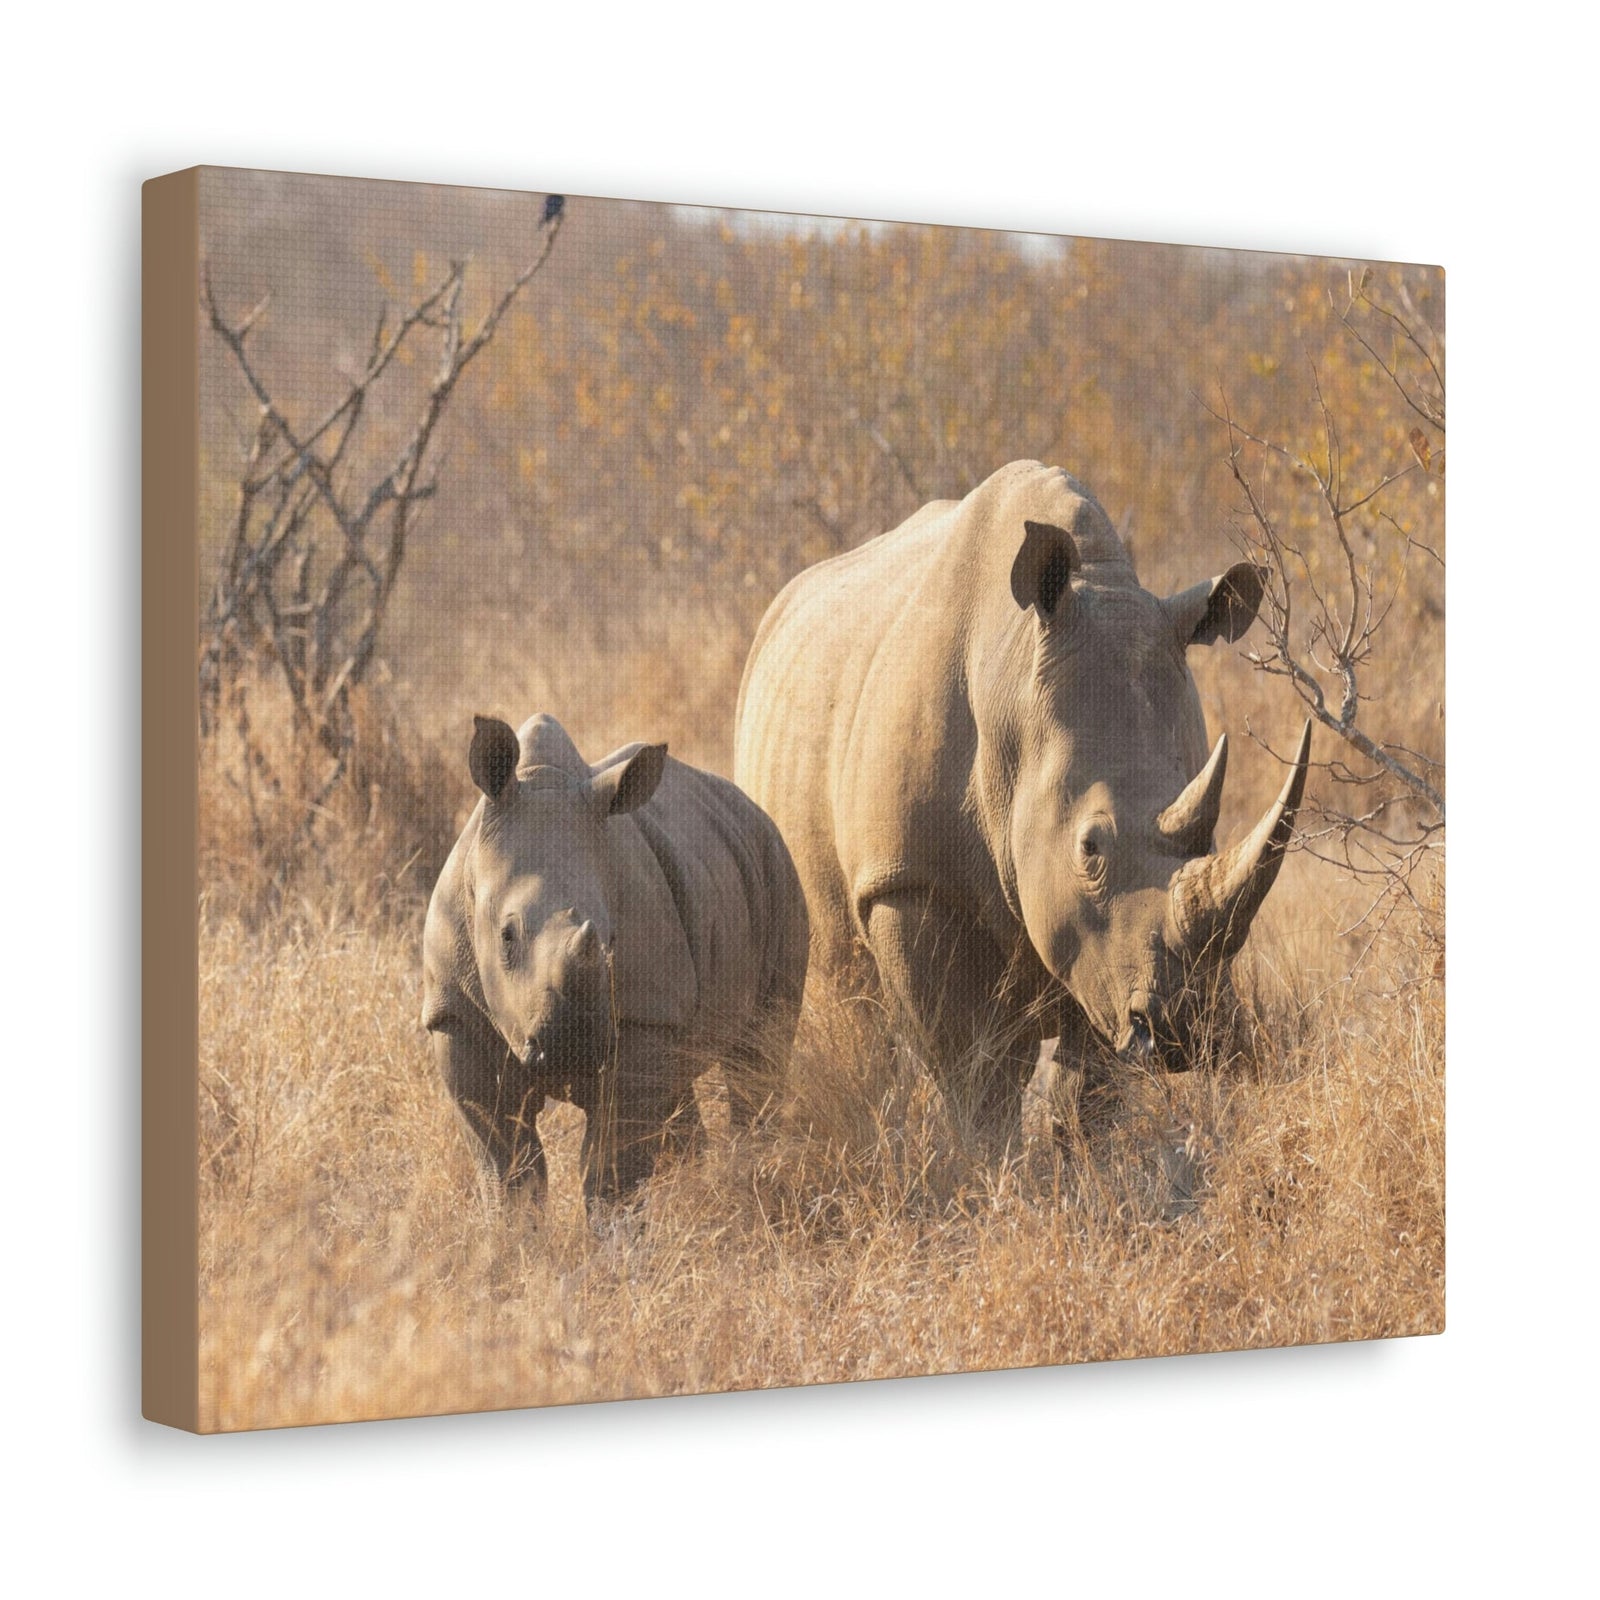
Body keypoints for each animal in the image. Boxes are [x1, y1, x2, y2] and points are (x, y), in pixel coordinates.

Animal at [422, 712, 808, 1197]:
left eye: (613, 939)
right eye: (506, 937)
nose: (573, 1049)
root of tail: (753, 808)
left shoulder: (643, 1014)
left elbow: (612, 1168)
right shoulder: (455, 1010)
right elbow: (508, 1165)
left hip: (777, 867)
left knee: (757, 1055)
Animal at [734, 460, 1309, 1131]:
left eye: (1211, 836)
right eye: (1090, 847)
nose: (1182, 1031)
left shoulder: (1100, 952)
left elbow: (1090, 1085)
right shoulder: (907, 879)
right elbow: (978, 1074)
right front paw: (989, 1157)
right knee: (854, 1001)